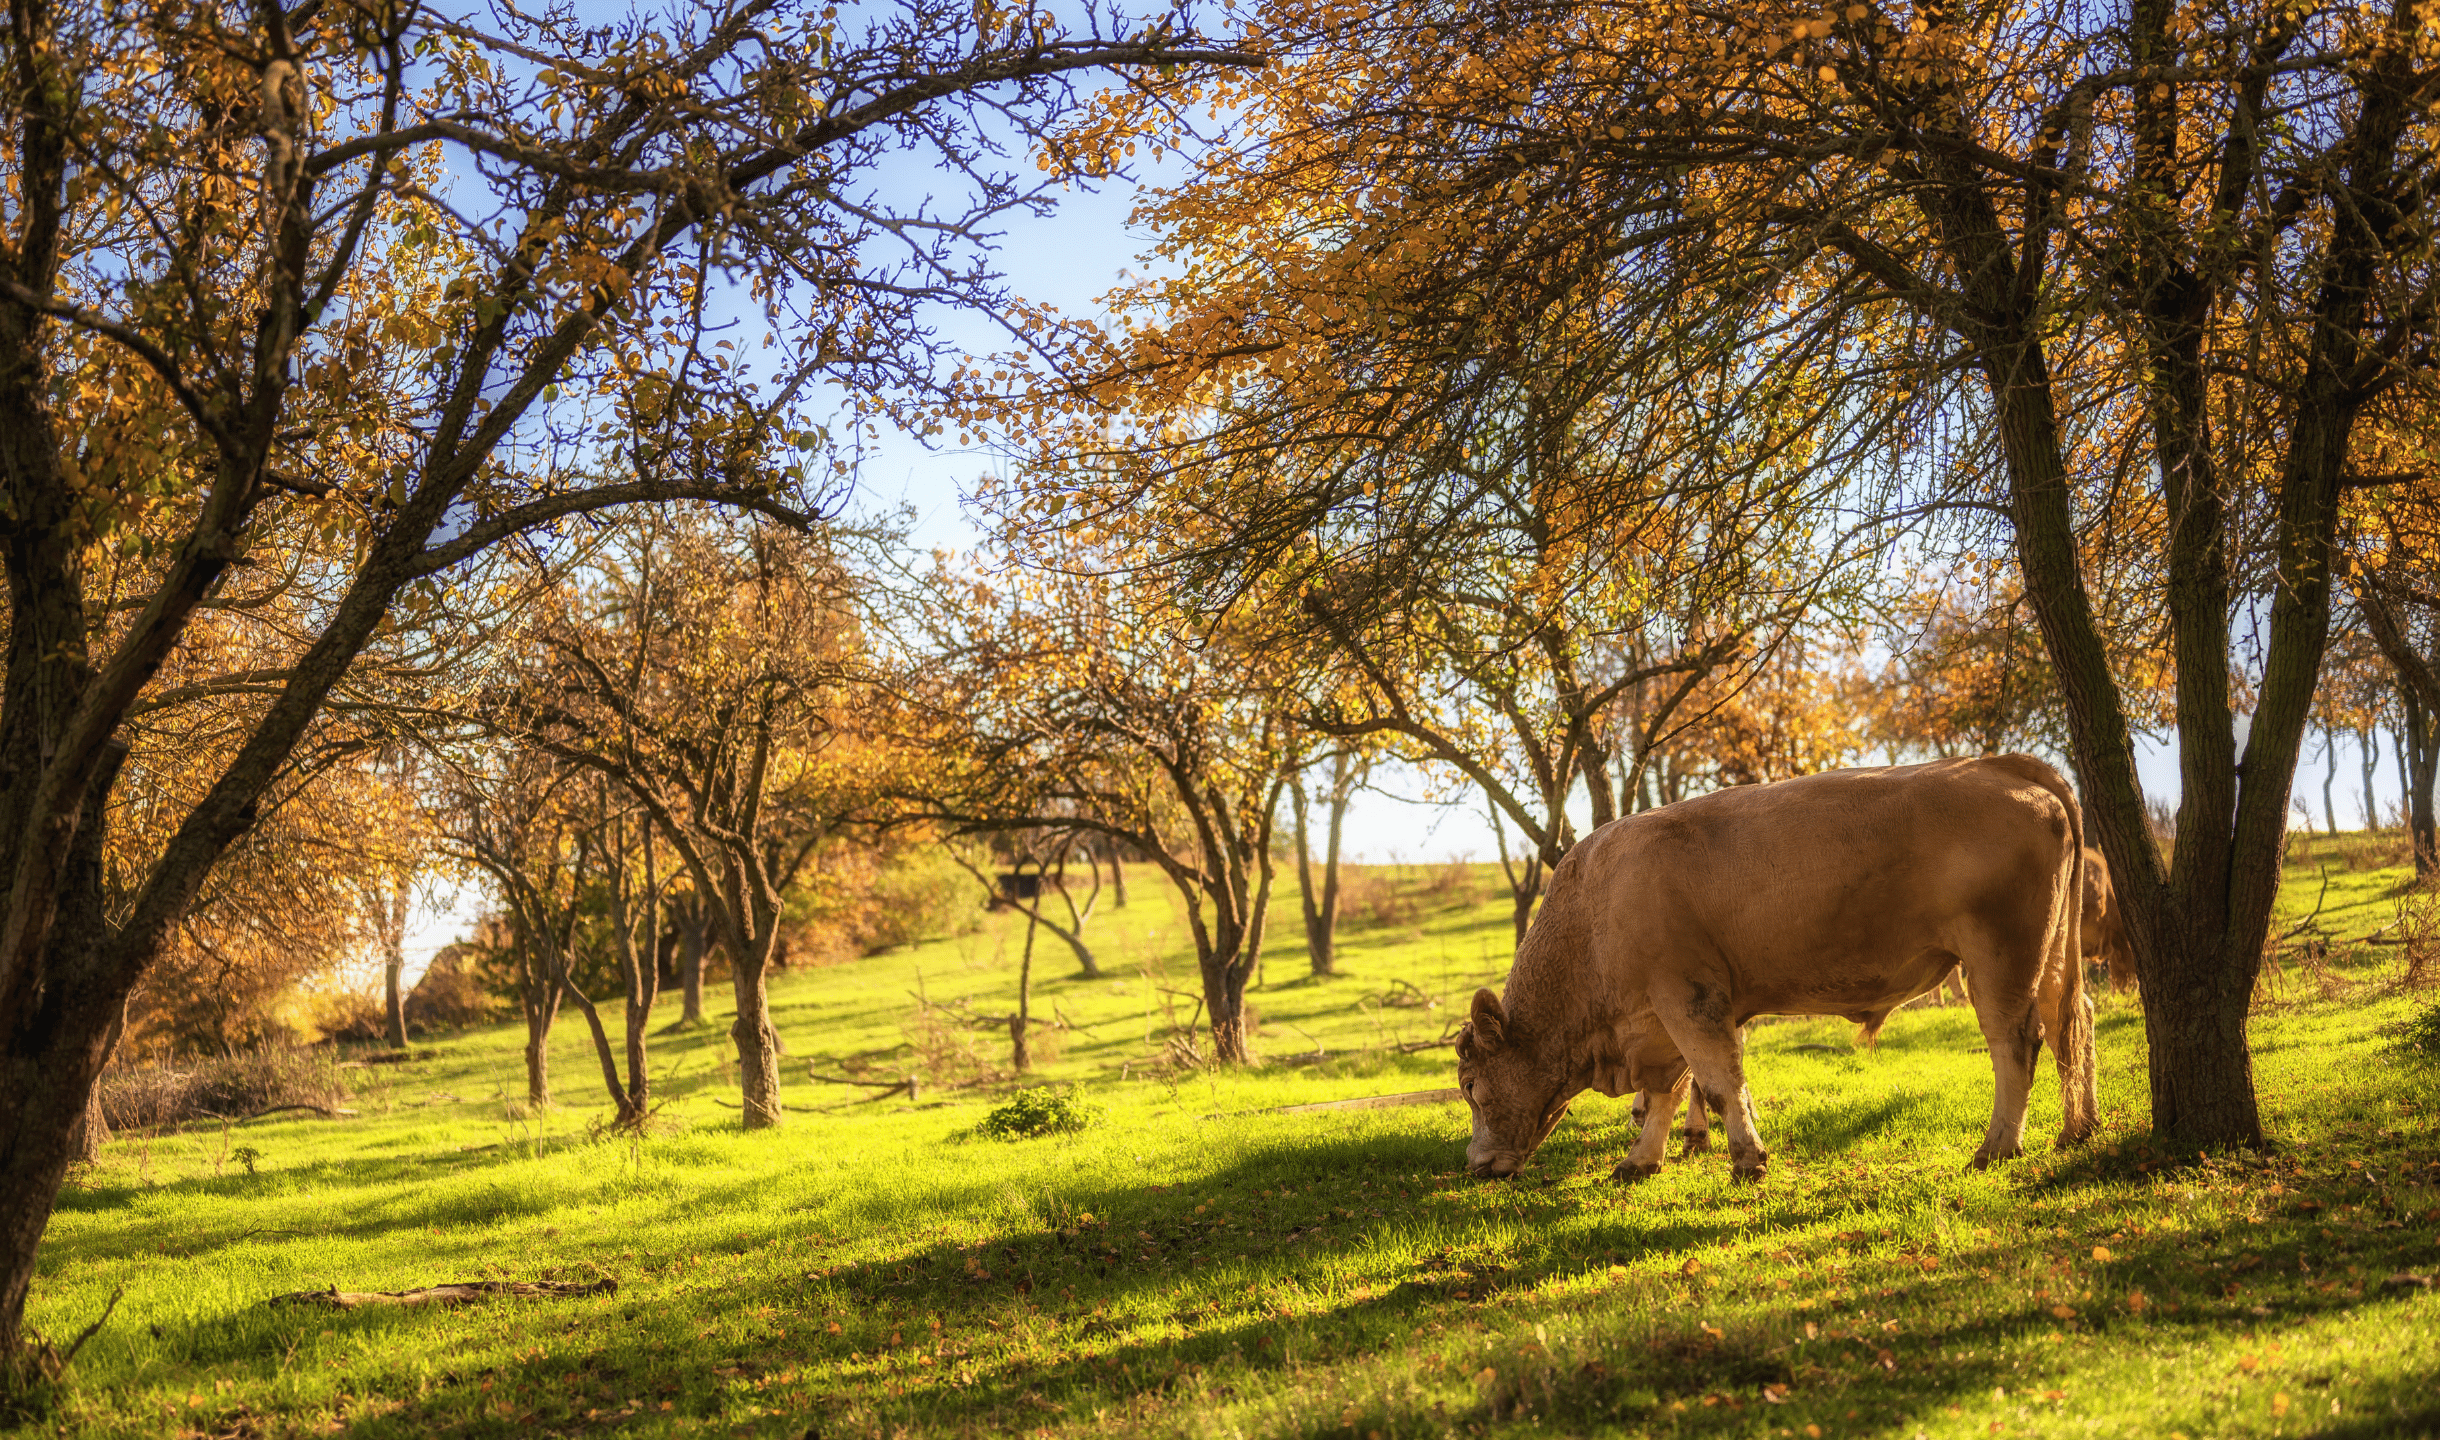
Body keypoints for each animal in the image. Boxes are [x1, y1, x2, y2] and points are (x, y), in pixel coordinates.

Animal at [1444, 756, 2098, 1186]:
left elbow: (1716, 1083)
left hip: (2000, 956)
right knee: (2073, 1023)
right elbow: (1667, 1094)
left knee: (2017, 1041)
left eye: (1471, 1085)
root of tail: (1999, 766)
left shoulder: (1688, 1000)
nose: (1475, 1166)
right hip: (2049, 956)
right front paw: (1640, 1161)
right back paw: (2077, 1128)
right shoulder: (1665, 1020)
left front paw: (1746, 1159)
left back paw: (1996, 1147)